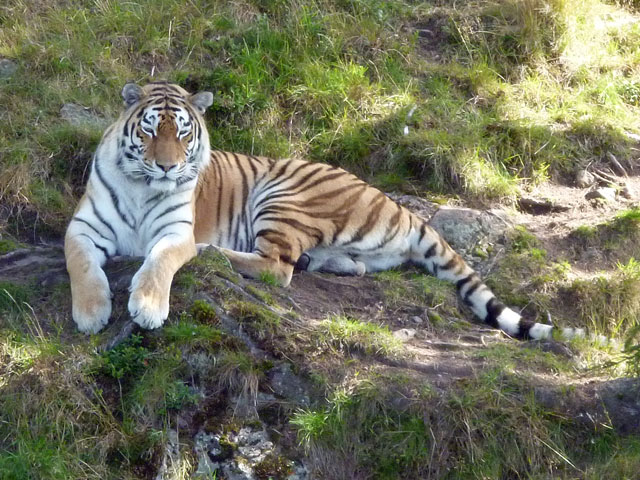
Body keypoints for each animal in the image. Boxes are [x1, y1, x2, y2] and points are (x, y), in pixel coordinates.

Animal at [66, 80, 580, 340]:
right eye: (151, 130)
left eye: (184, 132)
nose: (169, 166)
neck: (141, 185)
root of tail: (399, 206)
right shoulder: (82, 227)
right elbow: (81, 266)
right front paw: (91, 314)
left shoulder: (176, 233)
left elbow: (159, 263)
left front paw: (148, 308)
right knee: (331, 264)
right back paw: (327, 263)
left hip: (282, 194)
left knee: (278, 267)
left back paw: (216, 252)